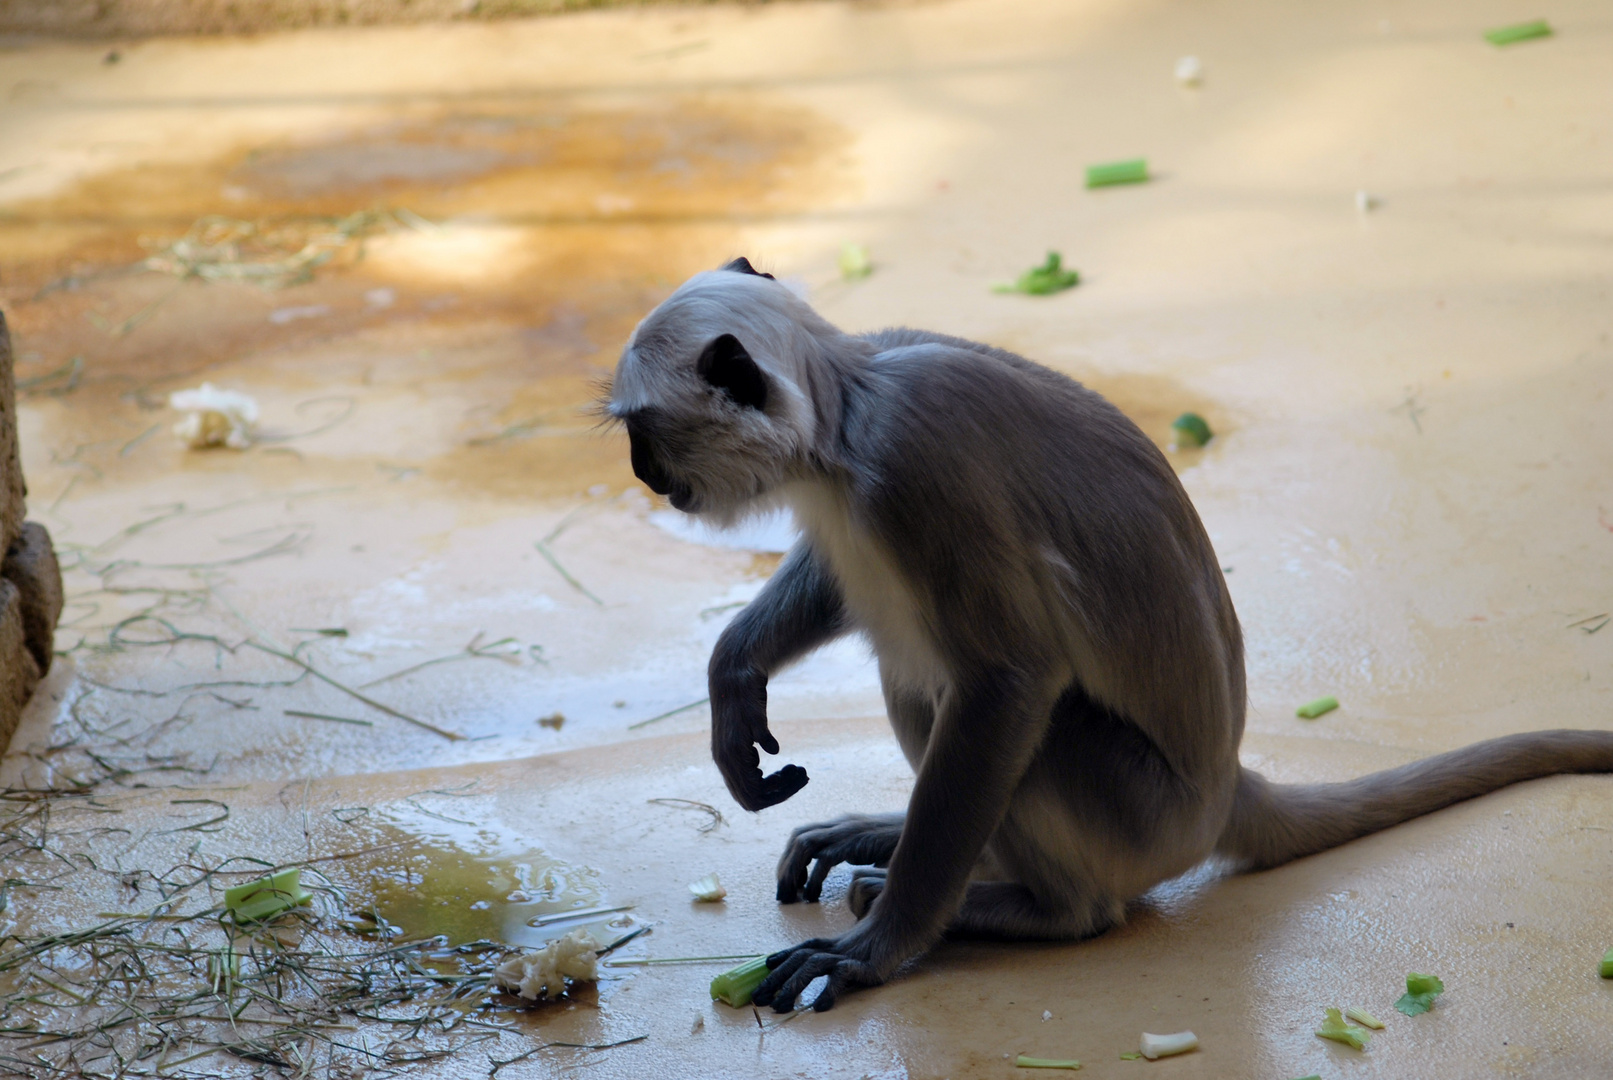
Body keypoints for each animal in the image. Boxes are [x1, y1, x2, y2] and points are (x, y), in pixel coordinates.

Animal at [603, 257, 1613, 1018]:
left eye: (644, 433)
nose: (643, 474)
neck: (850, 406)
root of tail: (1221, 789)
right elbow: (835, 586)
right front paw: (733, 677)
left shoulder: (915, 459)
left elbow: (1013, 677)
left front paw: (877, 948)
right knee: (916, 676)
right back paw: (905, 843)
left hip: (1132, 808)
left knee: (999, 716)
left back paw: (1038, 910)